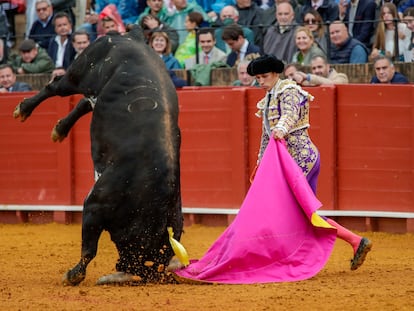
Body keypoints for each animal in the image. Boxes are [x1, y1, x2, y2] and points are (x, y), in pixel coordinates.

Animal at [12, 28, 183, 286]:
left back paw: (60, 129)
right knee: (56, 87)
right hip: (81, 72)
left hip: (96, 89)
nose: (126, 270)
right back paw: (24, 109)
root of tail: (129, 36)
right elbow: (89, 249)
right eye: (143, 256)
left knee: (85, 102)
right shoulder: (94, 204)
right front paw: (73, 275)